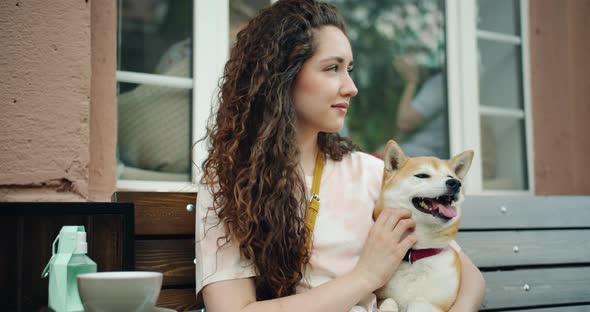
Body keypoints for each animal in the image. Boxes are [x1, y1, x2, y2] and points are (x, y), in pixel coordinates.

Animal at [374, 141, 476, 312]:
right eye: (422, 176)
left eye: (450, 177)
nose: (456, 183)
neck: (416, 255)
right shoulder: (381, 297)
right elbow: (389, 301)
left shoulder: (437, 304)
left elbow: (418, 304)